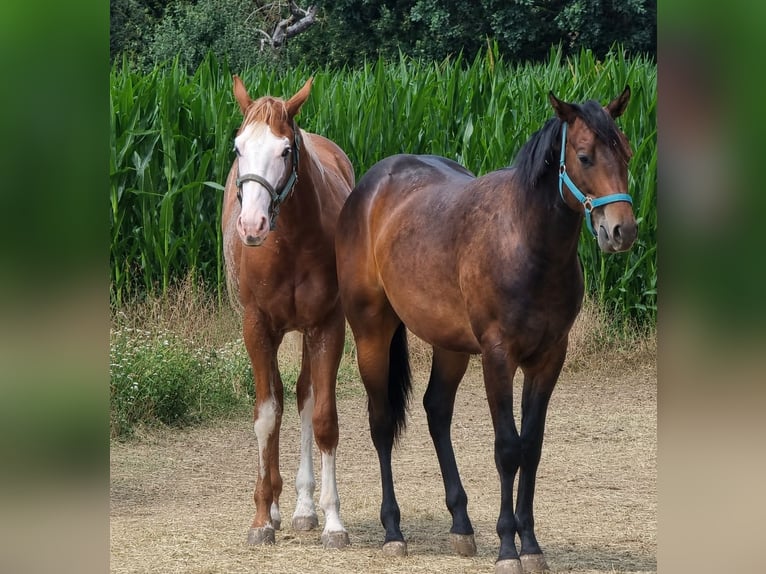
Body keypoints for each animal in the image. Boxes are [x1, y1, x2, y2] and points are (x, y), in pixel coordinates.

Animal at [222, 75, 354, 549]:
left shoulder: (327, 325)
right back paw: (278, 507)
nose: (251, 225)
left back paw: (302, 508)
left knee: (303, 397)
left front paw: (333, 521)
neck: (292, 239)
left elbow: (323, 418)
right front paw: (262, 518)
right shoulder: (256, 327)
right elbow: (266, 416)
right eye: (238, 148)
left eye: (284, 150)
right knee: (279, 400)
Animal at [335, 87, 636, 573]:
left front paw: (530, 544)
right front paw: (508, 548)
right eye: (585, 156)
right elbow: (508, 448)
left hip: (451, 347)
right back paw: (393, 531)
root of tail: (368, 187)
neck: (526, 244)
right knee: (381, 423)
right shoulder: (499, 357)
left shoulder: (549, 358)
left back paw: (461, 524)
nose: (621, 231)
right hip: (371, 333)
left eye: (626, 152)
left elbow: (532, 446)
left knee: (437, 410)